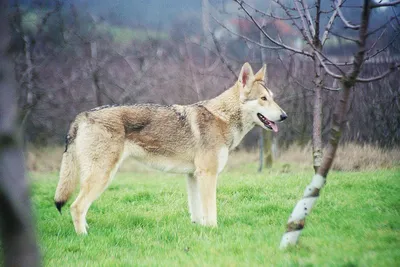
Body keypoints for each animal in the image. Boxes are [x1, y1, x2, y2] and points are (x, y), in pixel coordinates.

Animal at [55, 62, 288, 234]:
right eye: (263, 99)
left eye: (273, 98)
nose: (284, 116)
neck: (223, 118)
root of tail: (81, 116)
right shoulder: (208, 174)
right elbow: (211, 211)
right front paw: (214, 231)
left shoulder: (193, 176)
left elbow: (197, 213)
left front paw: (200, 231)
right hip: (103, 176)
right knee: (76, 207)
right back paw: (84, 237)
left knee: (81, 208)